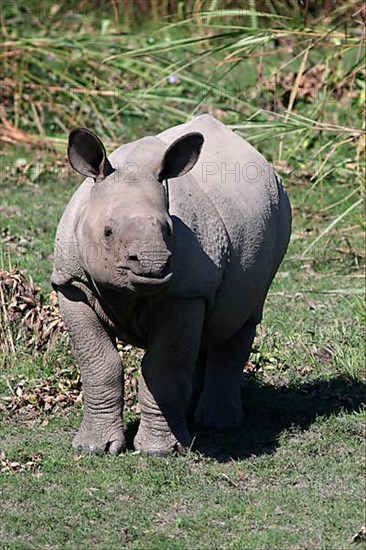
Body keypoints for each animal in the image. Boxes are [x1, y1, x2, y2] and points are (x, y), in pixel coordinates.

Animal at [51, 113, 292, 458]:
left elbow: (163, 367)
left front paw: (159, 451)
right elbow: (99, 364)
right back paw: (194, 417)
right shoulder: (71, 283)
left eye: (168, 230)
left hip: (280, 213)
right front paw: (93, 448)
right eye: (108, 232)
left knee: (242, 316)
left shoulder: (185, 292)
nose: (155, 263)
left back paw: (218, 424)